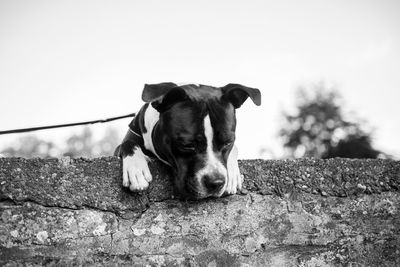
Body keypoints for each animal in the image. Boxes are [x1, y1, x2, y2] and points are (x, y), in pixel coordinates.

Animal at [114, 82, 260, 200]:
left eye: (227, 143)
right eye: (187, 145)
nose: (216, 183)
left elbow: (235, 149)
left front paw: (232, 172)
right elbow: (128, 143)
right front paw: (136, 169)